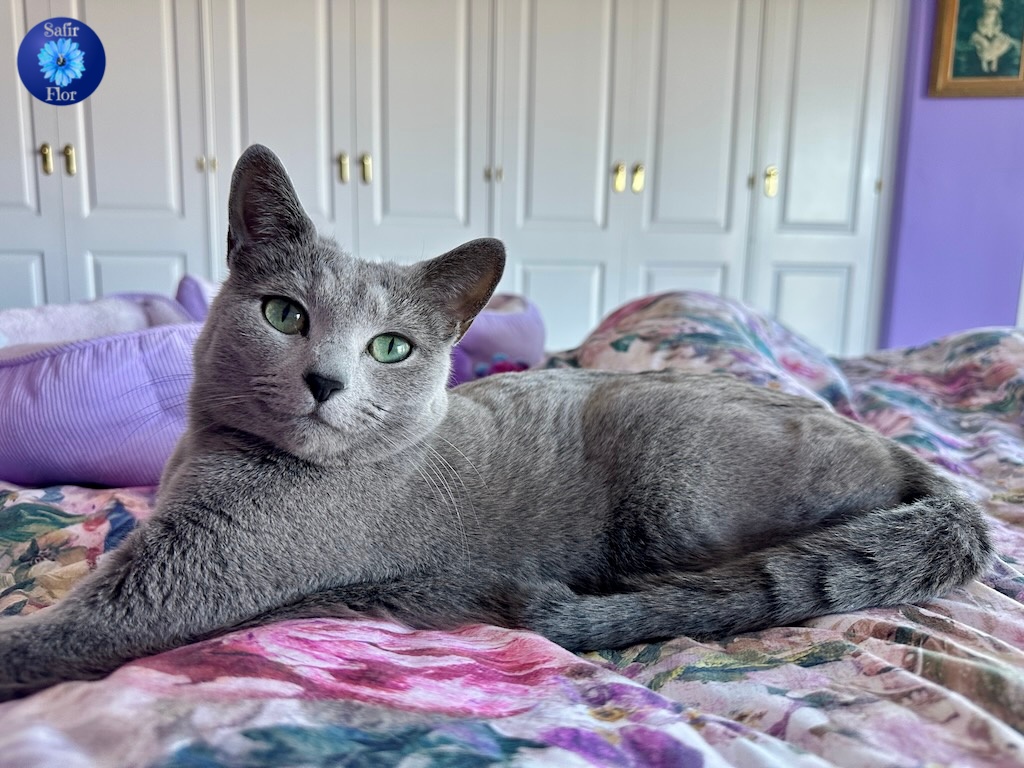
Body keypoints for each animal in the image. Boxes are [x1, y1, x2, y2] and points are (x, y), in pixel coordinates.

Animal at [0, 145, 992, 701]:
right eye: (285, 314)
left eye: (390, 348)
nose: (324, 379)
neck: (210, 451)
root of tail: (925, 471)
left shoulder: (191, 575)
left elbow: (78, 625)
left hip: (673, 486)